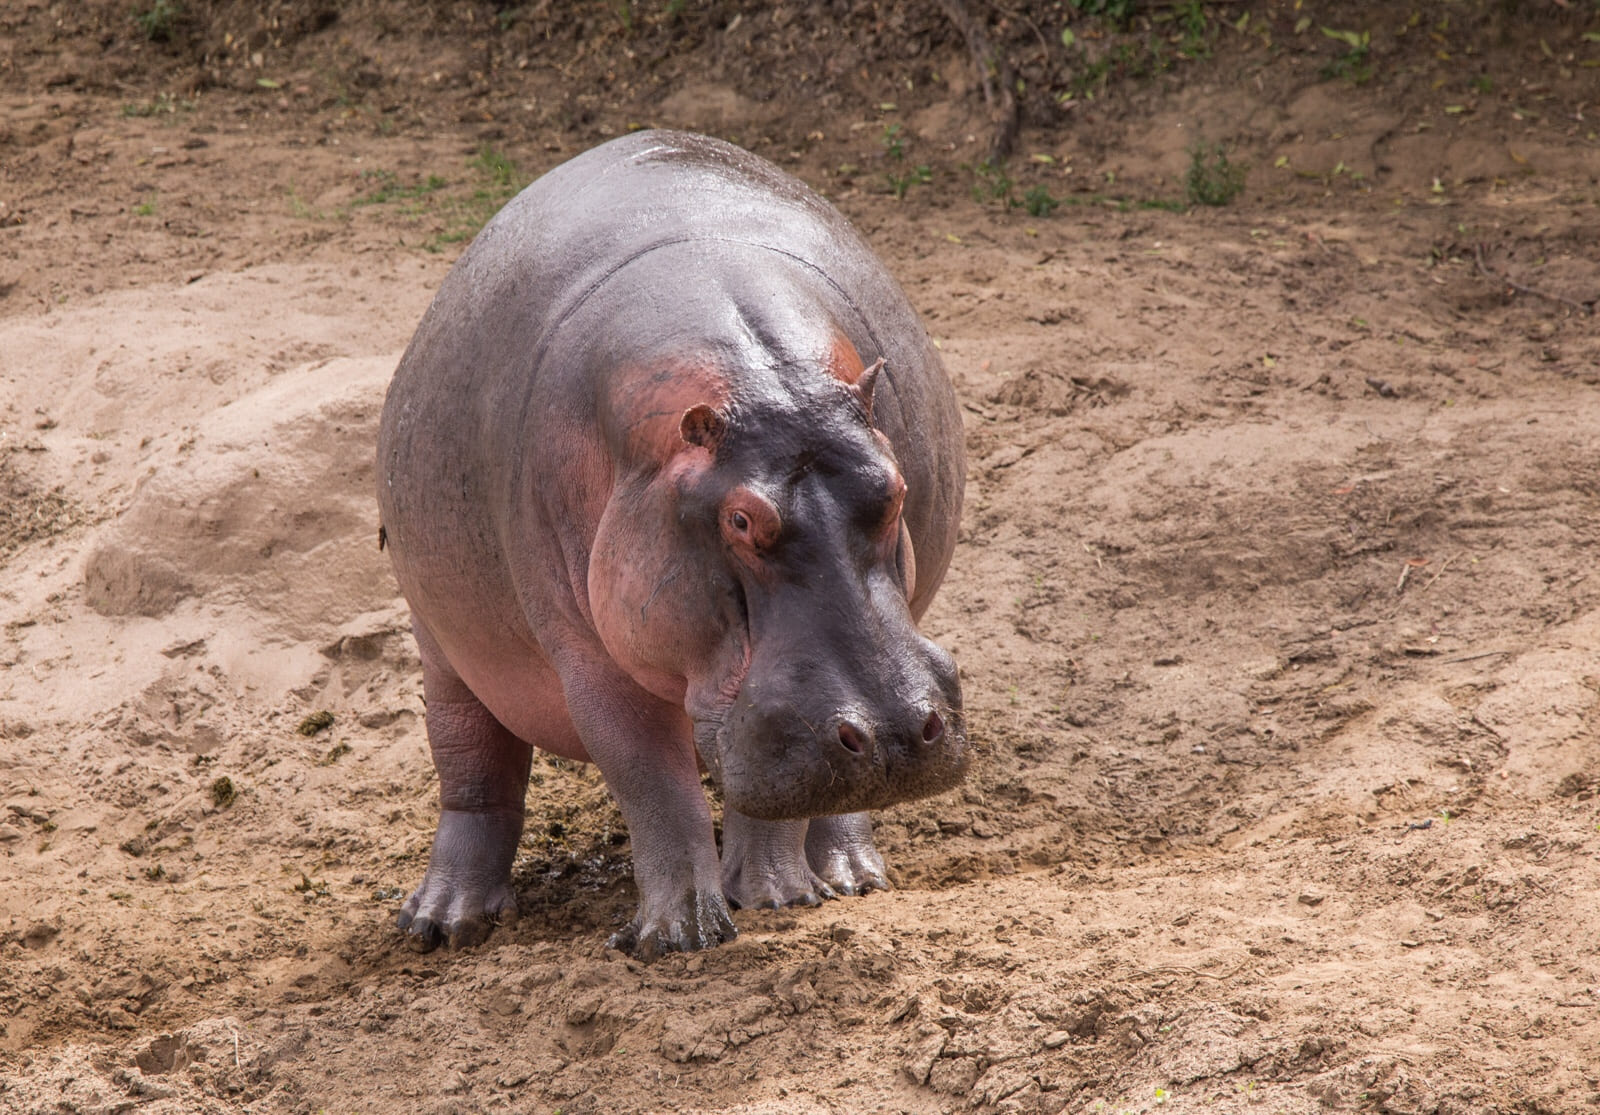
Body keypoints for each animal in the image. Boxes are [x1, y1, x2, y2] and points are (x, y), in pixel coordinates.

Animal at [376, 129, 967, 957]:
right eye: (741, 521)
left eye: (898, 487)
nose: (894, 731)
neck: (767, 383)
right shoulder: (592, 659)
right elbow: (651, 782)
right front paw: (677, 934)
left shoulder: (765, 706)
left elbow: (762, 792)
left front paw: (779, 897)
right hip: (444, 643)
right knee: (472, 770)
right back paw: (441, 922)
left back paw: (851, 876)